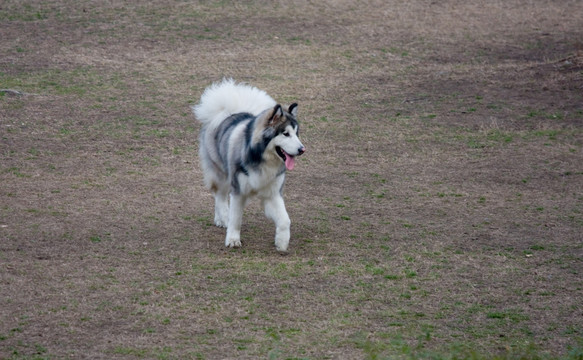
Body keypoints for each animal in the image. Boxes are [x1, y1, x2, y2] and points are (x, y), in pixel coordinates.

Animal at [195, 79, 308, 253]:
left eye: (296, 134)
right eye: (285, 134)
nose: (302, 150)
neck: (262, 159)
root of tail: (229, 113)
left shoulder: (272, 194)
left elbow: (285, 220)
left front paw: (282, 242)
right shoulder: (238, 191)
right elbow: (236, 219)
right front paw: (233, 239)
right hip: (222, 174)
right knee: (220, 196)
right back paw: (223, 218)